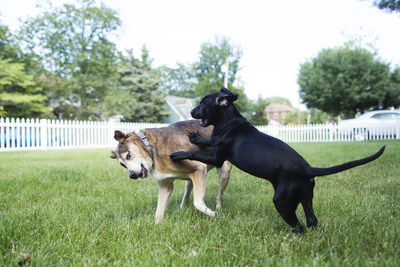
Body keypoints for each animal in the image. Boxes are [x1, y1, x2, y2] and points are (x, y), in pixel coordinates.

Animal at [170, 87, 386, 233]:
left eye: (203, 103)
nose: (191, 113)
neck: (229, 121)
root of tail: (308, 169)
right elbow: (207, 140)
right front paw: (195, 137)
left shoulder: (217, 158)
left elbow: (195, 153)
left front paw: (178, 154)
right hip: (306, 197)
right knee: (311, 221)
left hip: (282, 201)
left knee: (300, 226)